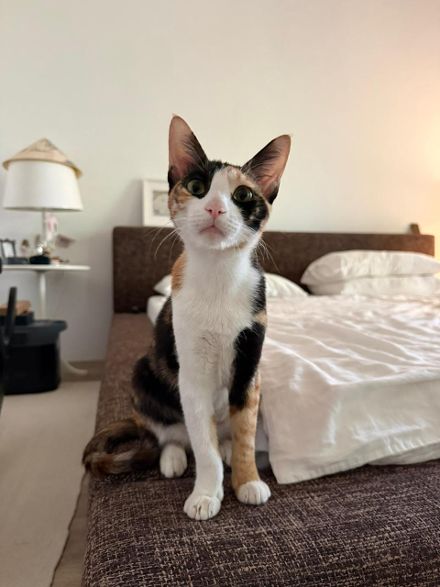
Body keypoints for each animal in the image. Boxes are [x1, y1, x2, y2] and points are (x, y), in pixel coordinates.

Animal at [83, 116, 291, 520]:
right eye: (197, 187)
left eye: (243, 195)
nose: (215, 208)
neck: (219, 276)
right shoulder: (191, 373)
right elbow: (201, 445)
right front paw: (206, 494)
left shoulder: (250, 365)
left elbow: (245, 431)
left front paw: (247, 480)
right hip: (144, 373)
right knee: (173, 432)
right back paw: (174, 457)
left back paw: (225, 448)